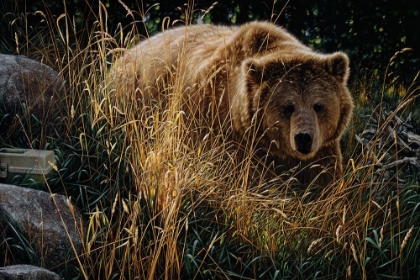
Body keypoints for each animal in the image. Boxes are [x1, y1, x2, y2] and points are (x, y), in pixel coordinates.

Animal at [109, 21, 354, 184]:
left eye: (318, 105)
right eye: (288, 106)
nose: (303, 138)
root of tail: (122, 57)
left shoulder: (323, 150)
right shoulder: (223, 131)